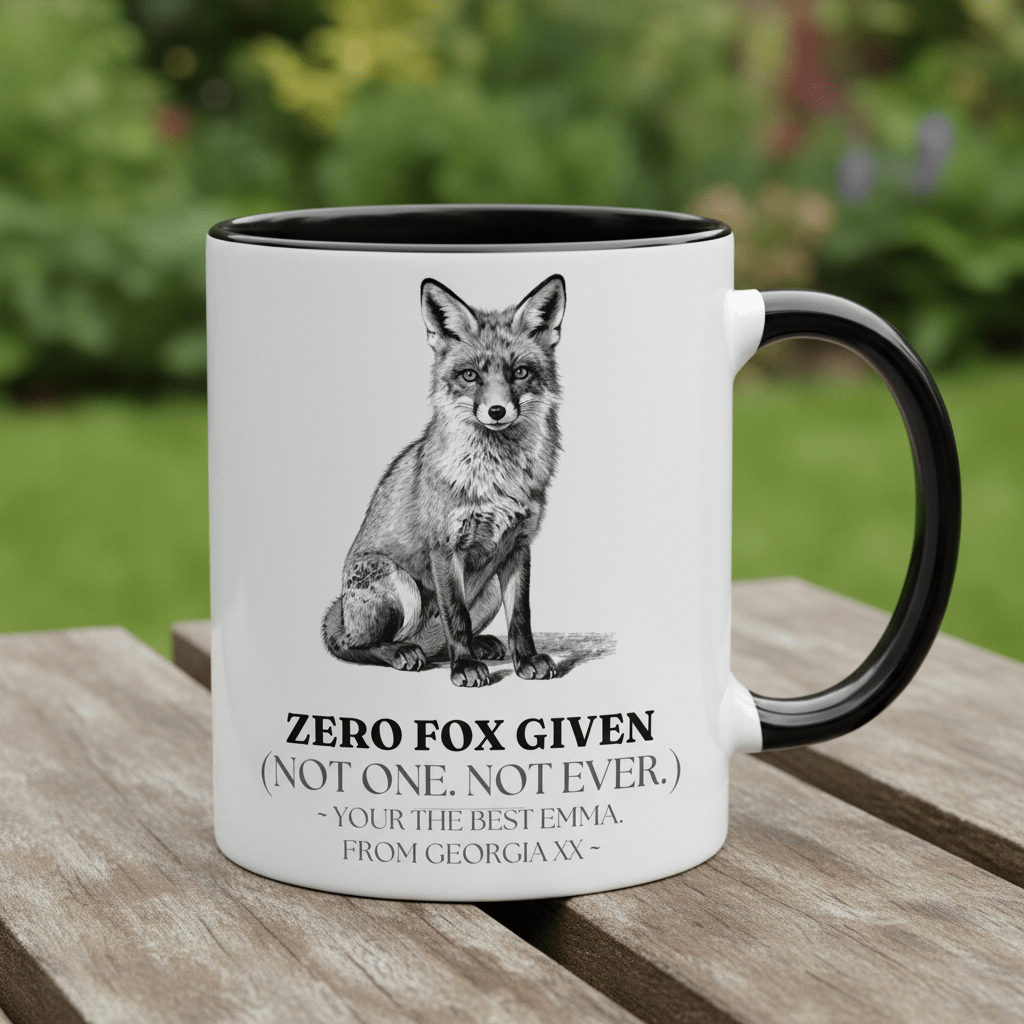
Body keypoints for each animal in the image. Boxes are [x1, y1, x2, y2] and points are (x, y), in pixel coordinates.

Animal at [321, 274, 566, 687]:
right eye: (470, 375)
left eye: (519, 372)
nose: (496, 411)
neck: (496, 479)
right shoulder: (444, 548)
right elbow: (456, 616)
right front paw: (464, 666)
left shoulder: (519, 546)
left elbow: (520, 617)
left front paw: (526, 660)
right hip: (400, 587)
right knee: (356, 646)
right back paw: (403, 652)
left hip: (488, 592)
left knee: (436, 640)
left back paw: (477, 645)